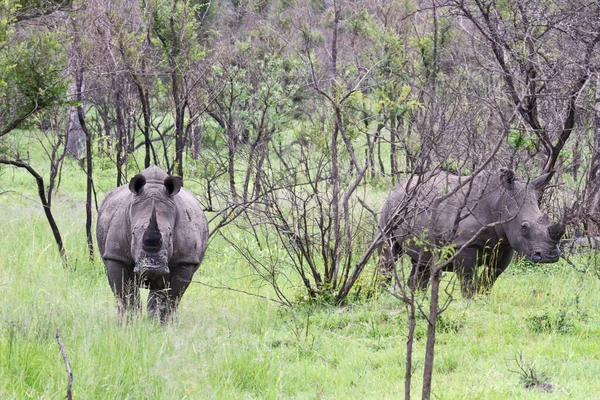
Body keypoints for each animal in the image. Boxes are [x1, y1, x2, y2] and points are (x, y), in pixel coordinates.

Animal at [98, 166, 209, 322]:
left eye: (170, 234)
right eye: (133, 233)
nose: (152, 268)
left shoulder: (185, 260)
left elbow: (170, 296)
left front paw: (158, 324)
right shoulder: (115, 256)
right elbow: (125, 295)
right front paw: (128, 323)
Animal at [378, 168, 564, 296]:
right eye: (524, 227)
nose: (550, 256)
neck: (498, 201)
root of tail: (399, 187)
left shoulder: (506, 246)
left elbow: (490, 279)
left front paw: (482, 300)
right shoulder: (465, 246)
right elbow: (468, 282)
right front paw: (470, 304)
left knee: (422, 261)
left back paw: (416, 298)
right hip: (390, 208)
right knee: (388, 252)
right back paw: (381, 294)